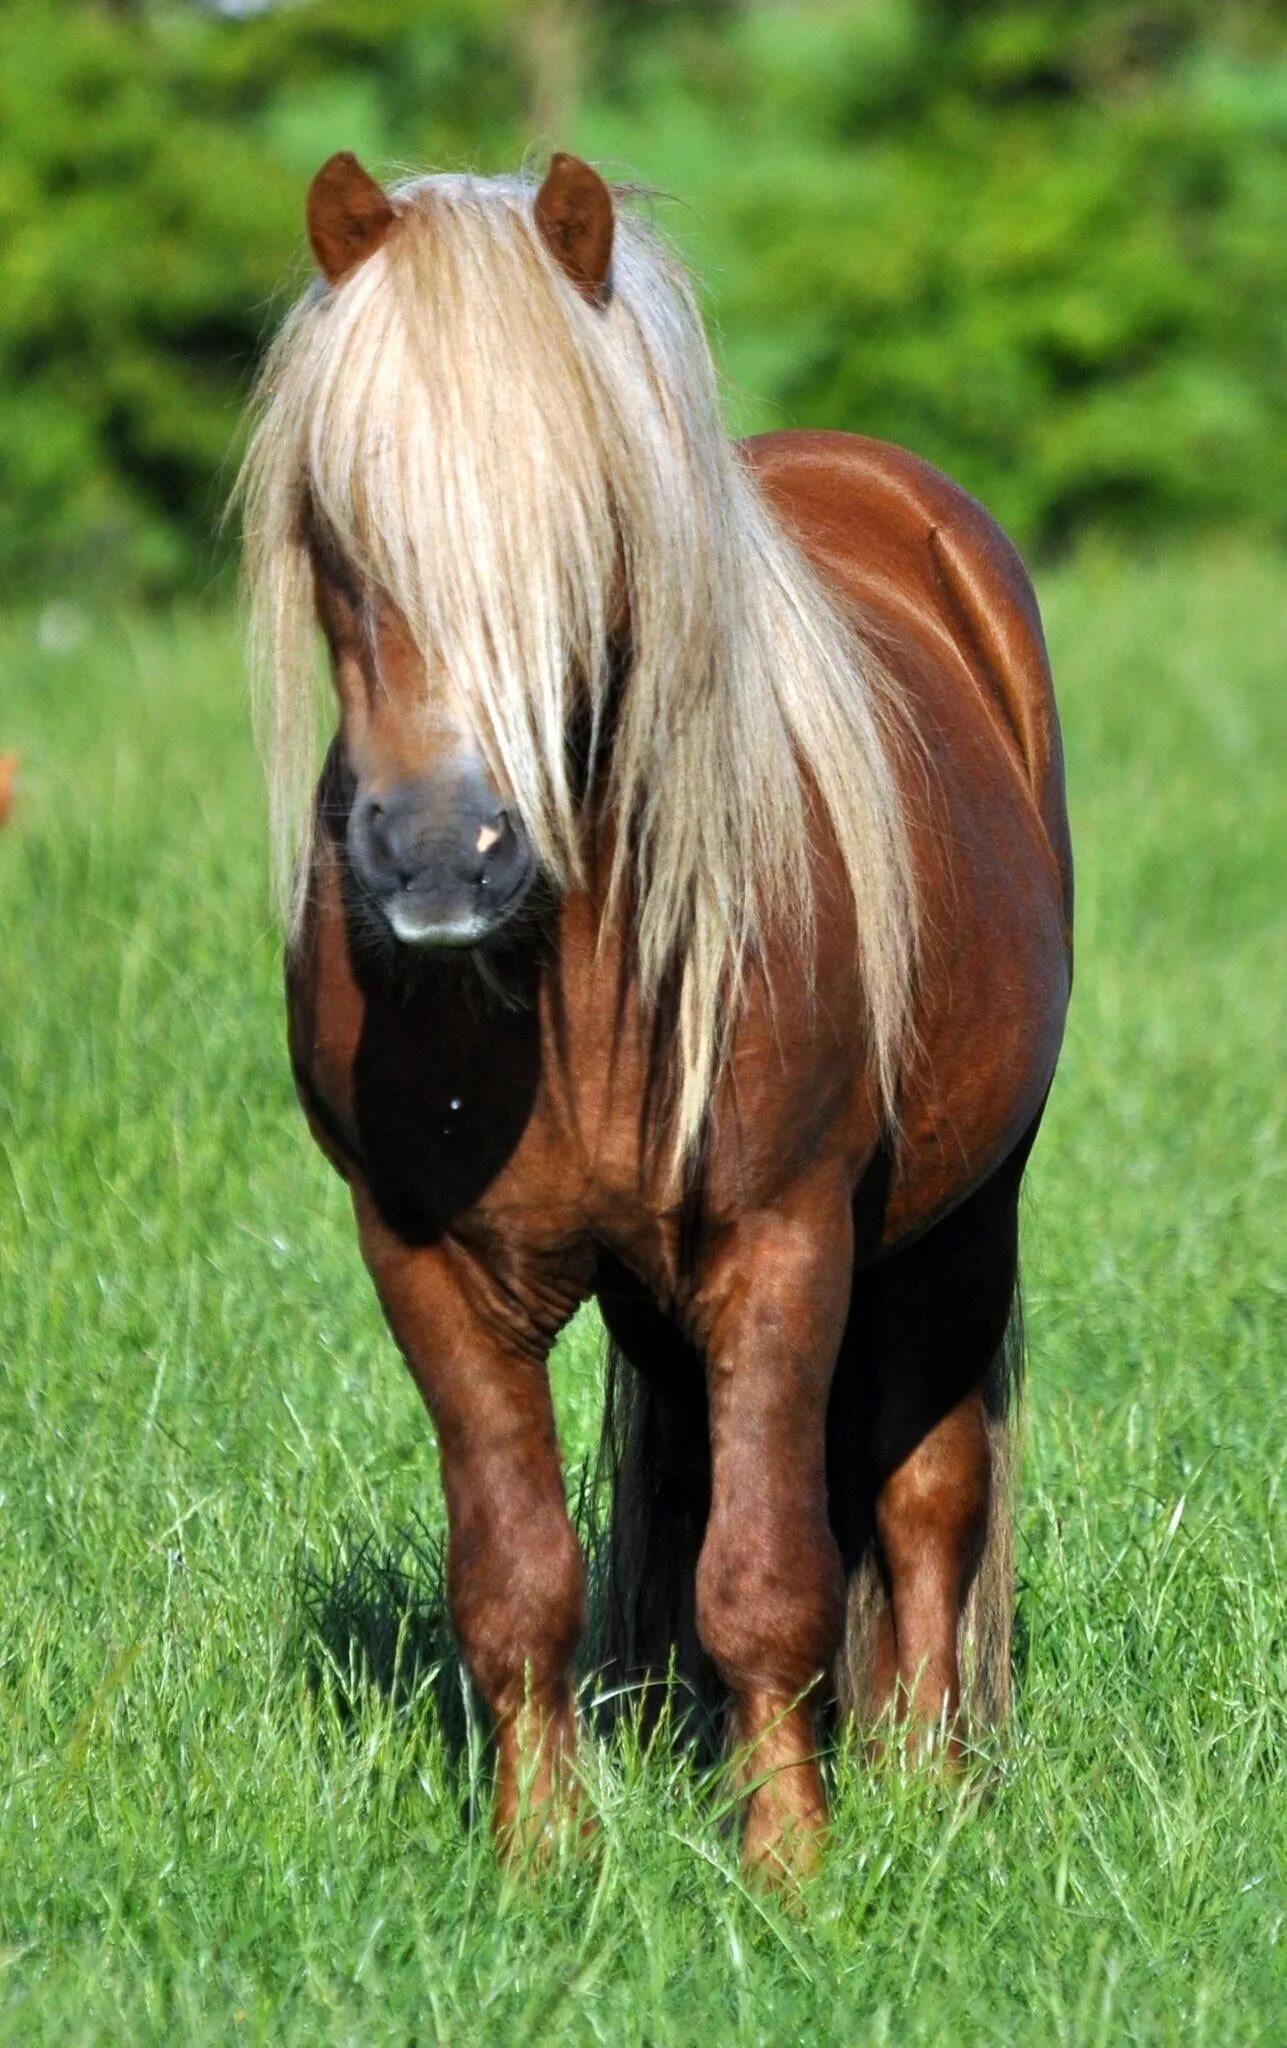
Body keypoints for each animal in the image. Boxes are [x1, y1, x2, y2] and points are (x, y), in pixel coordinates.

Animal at [236, 151, 1073, 1875]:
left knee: (924, 1493)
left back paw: (924, 1784)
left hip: (961, 1218)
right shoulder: (424, 1263)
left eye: (585, 529)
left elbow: (771, 1575)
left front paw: (792, 1872)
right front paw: (541, 1862)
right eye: (339, 527)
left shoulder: (783, 1244)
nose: (441, 853)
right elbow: (517, 1578)